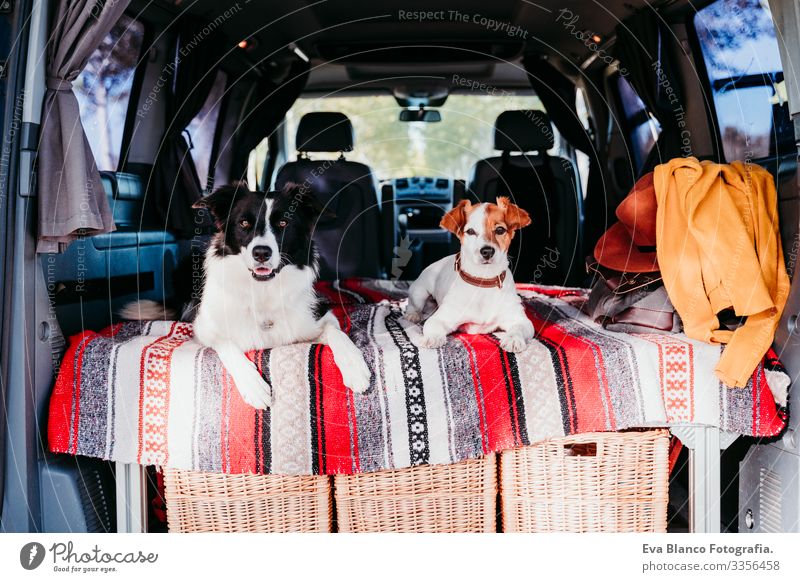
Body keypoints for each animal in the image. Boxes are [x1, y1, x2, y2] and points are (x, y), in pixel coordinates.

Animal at [122, 182, 372, 410]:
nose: (261, 252)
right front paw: (253, 385)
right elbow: (226, 343)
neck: (262, 290)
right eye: (244, 223)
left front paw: (354, 367)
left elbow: (337, 332)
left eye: (283, 223)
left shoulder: (318, 313)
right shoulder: (204, 326)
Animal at [410, 196, 536, 354]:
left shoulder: (520, 320)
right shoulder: (439, 318)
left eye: (500, 230)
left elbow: (518, 327)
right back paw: (413, 315)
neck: (483, 281)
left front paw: (513, 339)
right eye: (470, 231)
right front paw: (432, 338)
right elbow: (433, 326)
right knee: (413, 304)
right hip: (419, 292)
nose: (487, 251)